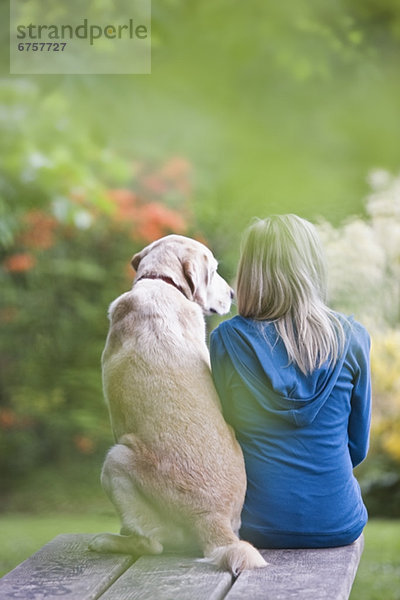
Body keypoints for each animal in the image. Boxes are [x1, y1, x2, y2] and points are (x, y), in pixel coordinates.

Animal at [89, 236, 268, 576]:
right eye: (214, 271)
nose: (233, 294)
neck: (162, 283)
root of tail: (212, 520)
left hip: (115, 459)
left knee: (150, 543)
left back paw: (109, 541)